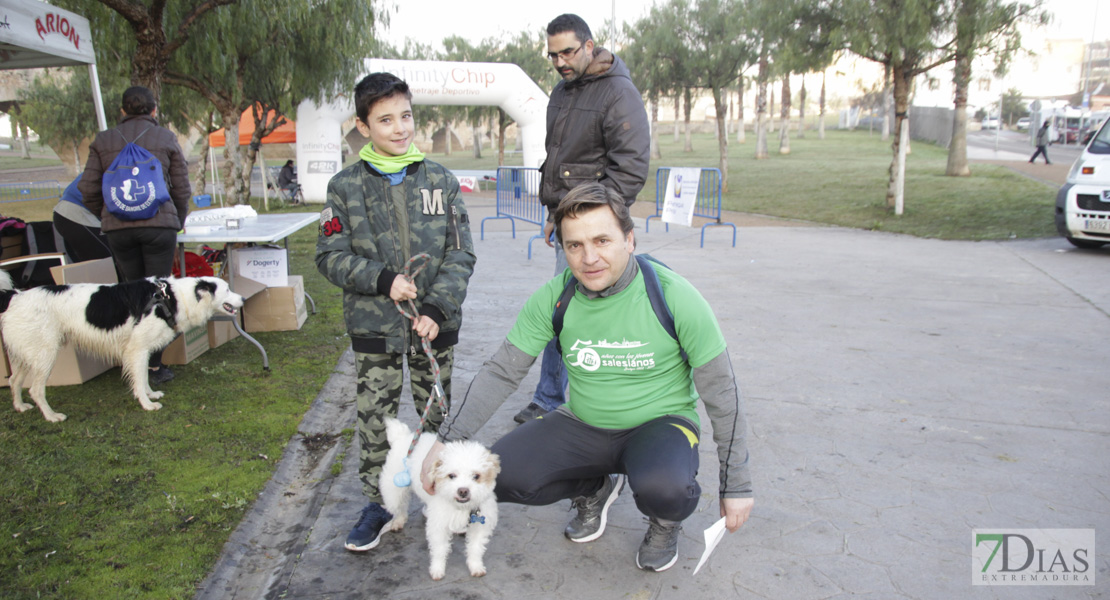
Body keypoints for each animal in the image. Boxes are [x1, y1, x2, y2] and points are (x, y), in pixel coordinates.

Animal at [0, 271, 244, 421]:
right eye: (227, 289)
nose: (242, 299)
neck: (172, 297)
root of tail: (15, 295)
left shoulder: (142, 350)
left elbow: (143, 377)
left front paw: (151, 394)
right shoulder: (137, 349)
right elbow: (139, 380)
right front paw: (146, 404)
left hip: (26, 354)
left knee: (14, 380)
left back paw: (20, 406)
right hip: (45, 354)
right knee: (35, 389)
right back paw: (52, 416)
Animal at [381, 414, 503, 576]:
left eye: (476, 476)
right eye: (451, 475)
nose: (463, 490)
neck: (460, 508)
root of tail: (404, 436)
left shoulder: (480, 525)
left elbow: (475, 548)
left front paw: (476, 566)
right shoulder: (438, 526)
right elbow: (439, 550)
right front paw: (437, 569)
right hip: (393, 491)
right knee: (399, 506)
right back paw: (398, 521)